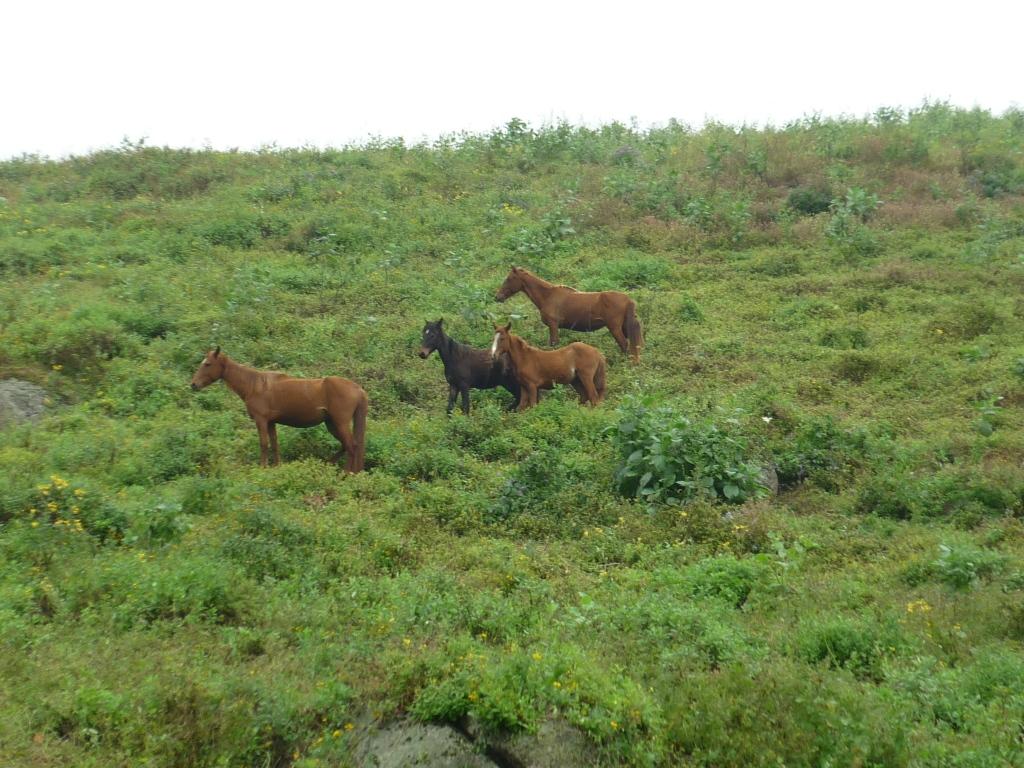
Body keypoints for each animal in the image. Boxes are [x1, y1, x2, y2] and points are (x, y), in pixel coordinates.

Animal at [190, 350, 370, 473]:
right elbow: (275, 444)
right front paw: (276, 466)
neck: (254, 385)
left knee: (351, 446)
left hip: (340, 423)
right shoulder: (271, 422)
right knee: (346, 445)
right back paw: (331, 465)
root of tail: (358, 389)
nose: (193, 384)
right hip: (331, 423)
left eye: (207, 364)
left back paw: (346, 473)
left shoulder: (261, 420)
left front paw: (262, 467)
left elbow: (264, 444)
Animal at [491, 268, 643, 364]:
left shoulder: (553, 325)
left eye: (509, 279)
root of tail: (627, 299)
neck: (548, 296)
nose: (498, 297)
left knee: (624, 345)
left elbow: (554, 344)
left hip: (615, 328)